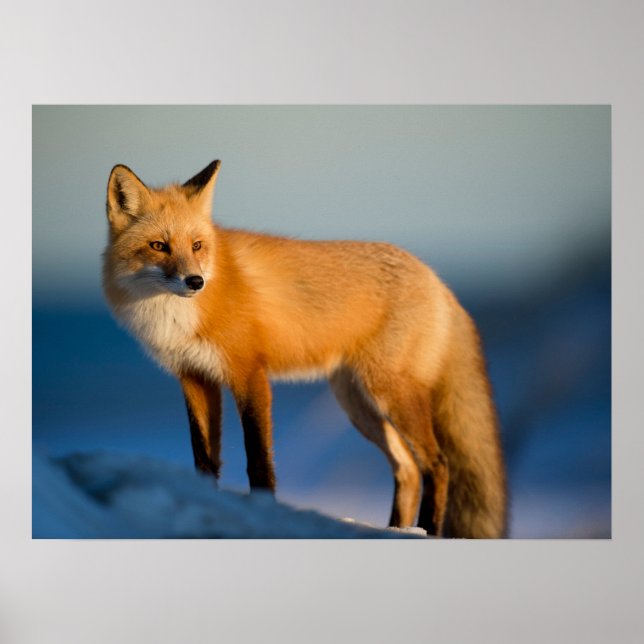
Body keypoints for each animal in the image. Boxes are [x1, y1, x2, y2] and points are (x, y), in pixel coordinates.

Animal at [102, 159, 508, 538]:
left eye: (197, 245)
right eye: (159, 246)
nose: (195, 281)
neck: (176, 316)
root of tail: (437, 280)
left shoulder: (249, 373)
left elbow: (258, 460)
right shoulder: (194, 378)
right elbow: (204, 460)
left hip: (390, 393)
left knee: (437, 464)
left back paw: (427, 530)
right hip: (357, 403)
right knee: (407, 468)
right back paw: (396, 530)